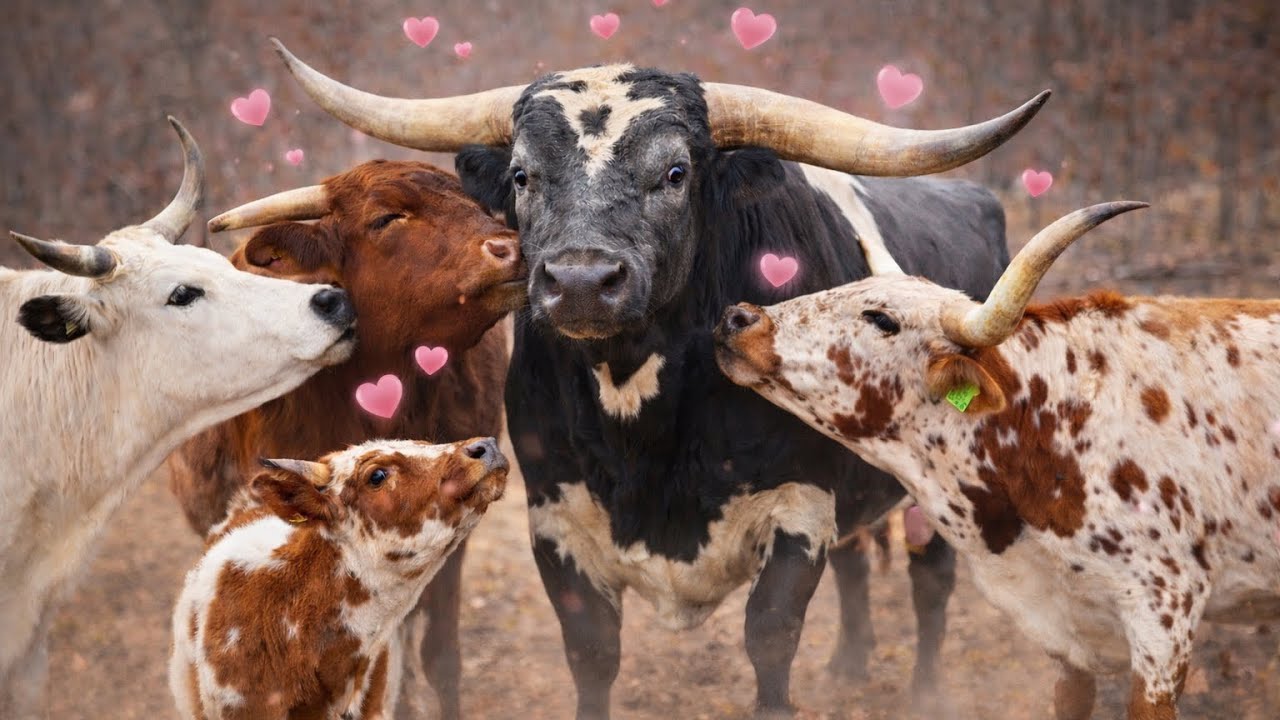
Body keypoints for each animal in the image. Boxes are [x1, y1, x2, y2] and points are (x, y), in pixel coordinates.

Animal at [265, 39, 1049, 716]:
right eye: (522, 175)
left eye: (675, 174)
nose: (582, 281)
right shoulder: (554, 519)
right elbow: (591, 654)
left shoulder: (800, 508)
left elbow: (770, 637)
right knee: (861, 563)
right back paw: (850, 667)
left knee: (931, 581)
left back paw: (925, 692)